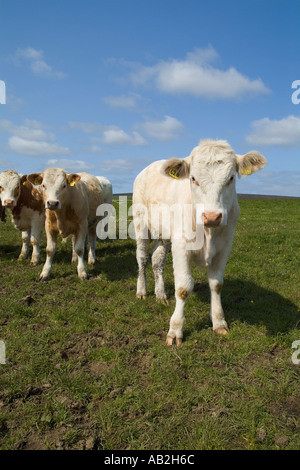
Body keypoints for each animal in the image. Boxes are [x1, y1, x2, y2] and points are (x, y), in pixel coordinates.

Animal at [134, 140, 268, 346]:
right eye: (193, 178)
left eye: (231, 178)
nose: (212, 216)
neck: (208, 233)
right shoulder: (181, 246)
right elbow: (183, 288)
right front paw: (175, 330)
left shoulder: (224, 247)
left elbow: (216, 284)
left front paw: (219, 321)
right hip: (141, 225)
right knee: (142, 258)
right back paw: (141, 291)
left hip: (164, 235)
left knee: (157, 260)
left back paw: (161, 294)